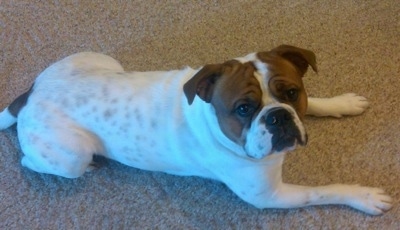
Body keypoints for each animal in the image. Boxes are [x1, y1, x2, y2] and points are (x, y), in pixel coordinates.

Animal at [0, 45, 392, 216]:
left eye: (292, 93)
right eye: (244, 109)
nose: (278, 117)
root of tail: (30, 96)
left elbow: (319, 104)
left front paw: (342, 102)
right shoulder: (271, 196)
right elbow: (321, 191)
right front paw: (363, 196)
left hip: (102, 60)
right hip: (71, 157)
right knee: (30, 162)